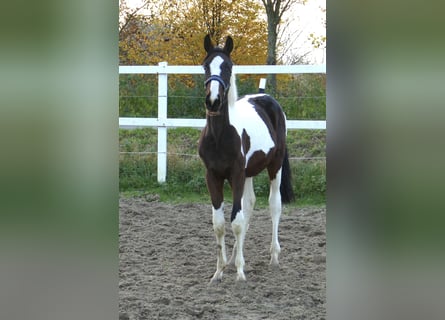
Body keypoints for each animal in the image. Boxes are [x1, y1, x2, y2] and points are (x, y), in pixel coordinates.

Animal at [198, 33, 294, 282]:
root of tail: (267, 97)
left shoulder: (236, 174)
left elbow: (237, 221)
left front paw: (240, 273)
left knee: (274, 205)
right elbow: (220, 223)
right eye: (205, 65)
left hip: (274, 166)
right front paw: (219, 271)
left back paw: (273, 256)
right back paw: (233, 258)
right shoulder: (213, 176)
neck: (219, 136)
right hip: (249, 173)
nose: (213, 101)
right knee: (249, 204)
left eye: (228, 67)